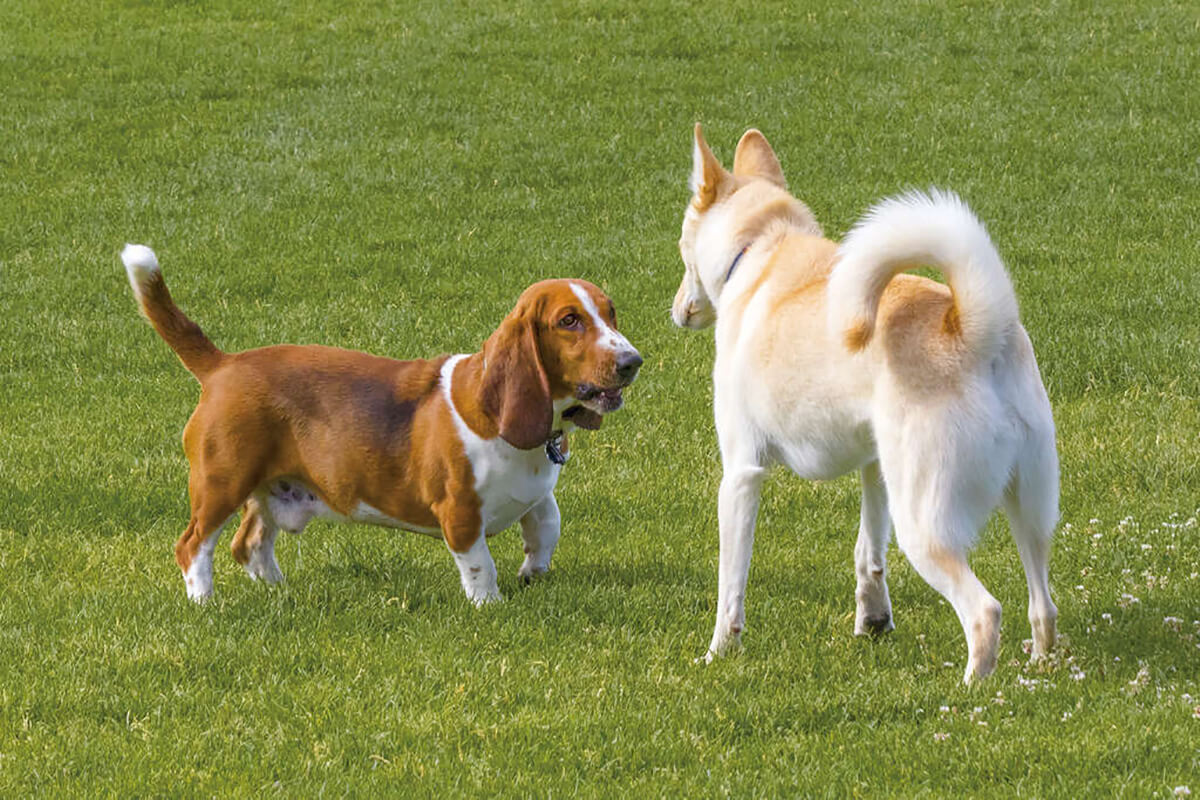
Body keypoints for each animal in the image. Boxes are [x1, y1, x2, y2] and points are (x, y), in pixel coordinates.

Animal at [123, 245, 643, 606]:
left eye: (611, 311)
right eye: (569, 321)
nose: (633, 362)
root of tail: (223, 364)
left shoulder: (537, 494)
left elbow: (547, 527)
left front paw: (533, 575)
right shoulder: (460, 512)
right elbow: (481, 565)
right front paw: (490, 604)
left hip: (269, 486)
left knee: (249, 545)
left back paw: (281, 591)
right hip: (222, 482)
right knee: (194, 546)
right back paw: (205, 603)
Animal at [676, 125, 1060, 681]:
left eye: (681, 245)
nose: (676, 311)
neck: (764, 246)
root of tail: (971, 329)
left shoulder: (742, 474)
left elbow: (732, 584)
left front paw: (718, 653)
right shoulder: (875, 465)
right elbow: (868, 553)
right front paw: (873, 622)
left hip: (924, 523)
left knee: (985, 612)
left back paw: (971, 690)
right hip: (1027, 507)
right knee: (1042, 604)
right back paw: (1042, 669)